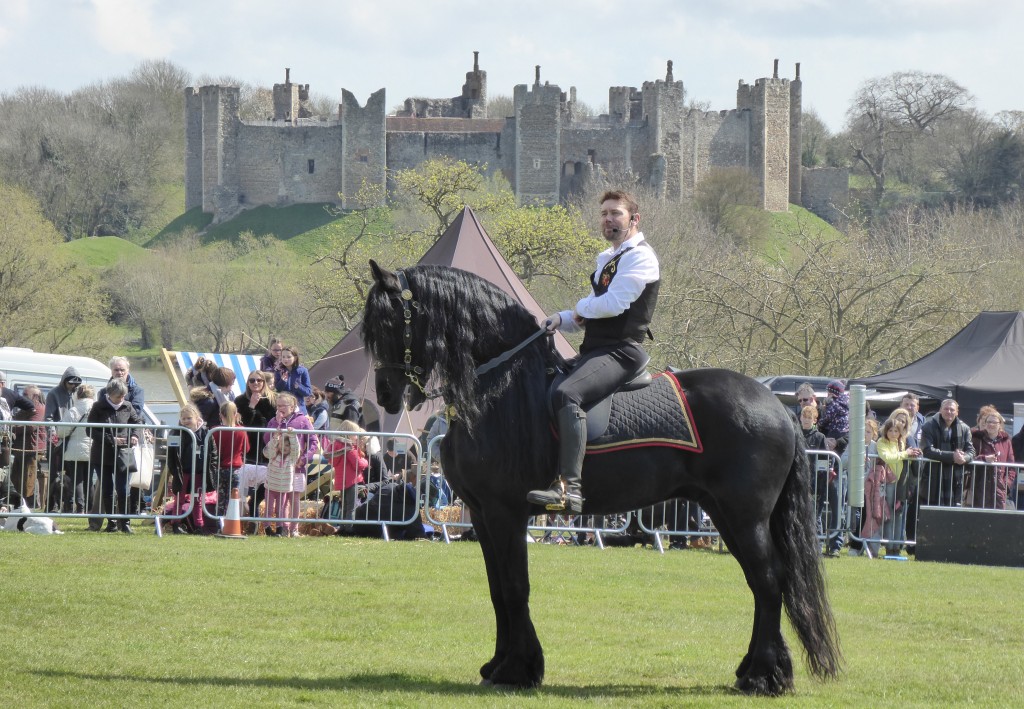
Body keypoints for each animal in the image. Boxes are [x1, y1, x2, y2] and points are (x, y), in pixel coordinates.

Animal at [360, 259, 839, 692]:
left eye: (390, 323)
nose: (384, 395)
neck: (500, 388)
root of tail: (777, 407)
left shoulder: (504, 513)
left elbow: (515, 587)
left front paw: (519, 670)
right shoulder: (480, 514)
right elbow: (497, 590)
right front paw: (499, 665)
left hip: (745, 516)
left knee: (769, 580)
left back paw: (764, 677)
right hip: (725, 514)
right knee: (762, 582)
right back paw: (757, 671)